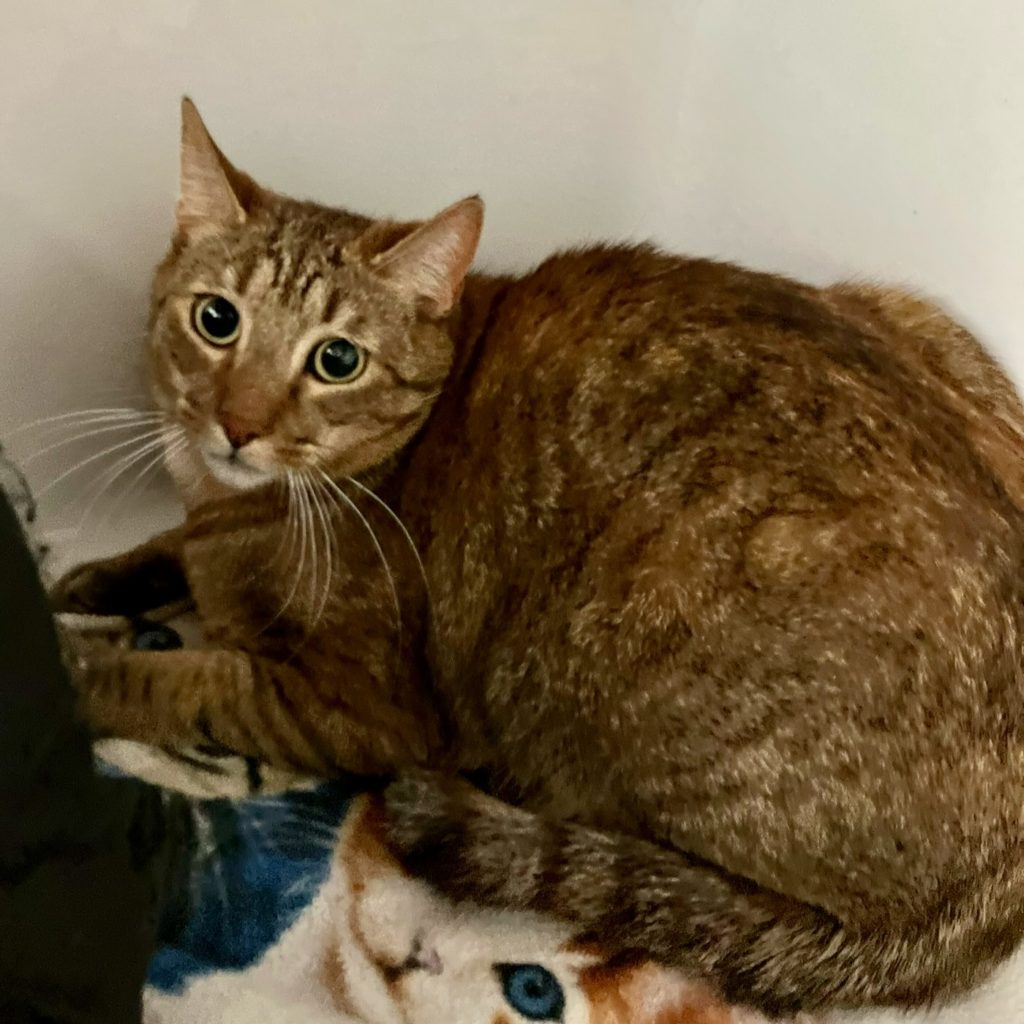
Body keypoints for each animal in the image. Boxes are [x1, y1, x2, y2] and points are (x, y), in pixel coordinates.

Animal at [52, 97, 1024, 1017]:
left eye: (336, 360)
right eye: (217, 319)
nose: (239, 423)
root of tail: (994, 904)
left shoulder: (352, 708)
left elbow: (180, 681)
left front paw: (77, 664)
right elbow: (166, 550)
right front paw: (100, 575)